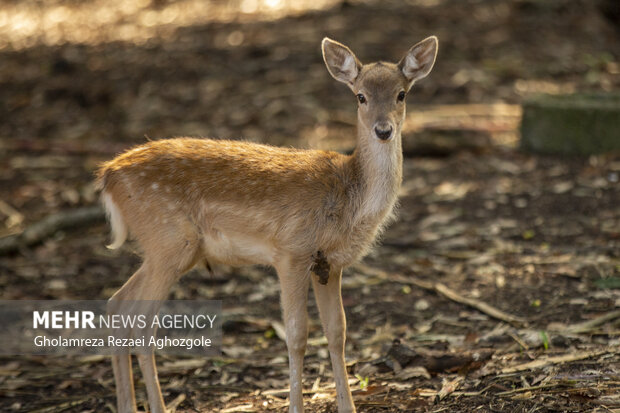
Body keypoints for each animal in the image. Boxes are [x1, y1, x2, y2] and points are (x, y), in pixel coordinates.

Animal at [98, 35, 436, 412]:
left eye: (401, 94)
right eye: (360, 96)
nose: (383, 130)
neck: (349, 200)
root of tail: (108, 176)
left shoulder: (330, 264)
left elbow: (337, 331)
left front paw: (348, 407)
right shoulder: (291, 251)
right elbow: (297, 335)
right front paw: (296, 407)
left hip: (166, 247)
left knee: (117, 304)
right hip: (169, 240)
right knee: (142, 324)